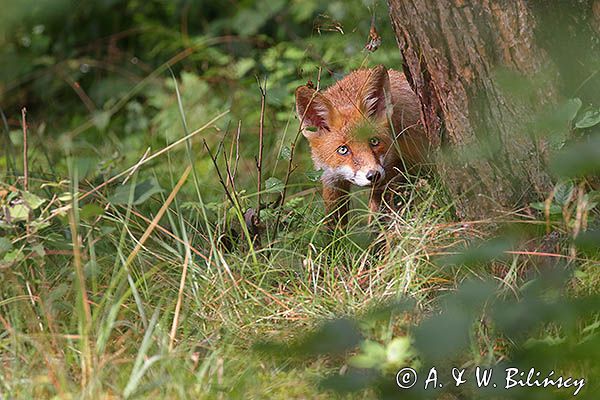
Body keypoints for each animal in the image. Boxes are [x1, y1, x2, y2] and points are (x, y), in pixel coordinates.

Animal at [294, 65, 426, 225]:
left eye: (374, 142)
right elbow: (334, 221)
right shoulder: (330, 180)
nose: (373, 175)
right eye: (343, 149)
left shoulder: (390, 170)